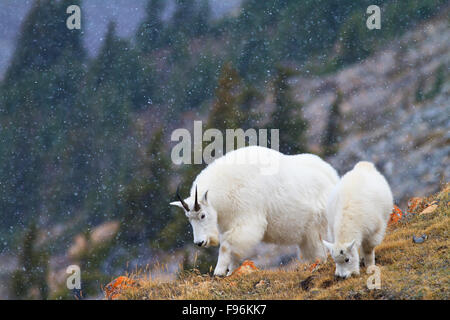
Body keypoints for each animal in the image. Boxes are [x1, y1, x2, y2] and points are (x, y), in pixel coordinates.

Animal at [171, 146, 340, 276]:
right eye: (189, 218)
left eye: (202, 215)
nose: (200, 242)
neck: (226, 190)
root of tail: (334, 178)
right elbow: (233, 250)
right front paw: (230, 271)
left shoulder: (246, 219)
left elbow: (227, 245)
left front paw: (219, 271)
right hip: (307, 234)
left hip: (320, 227)